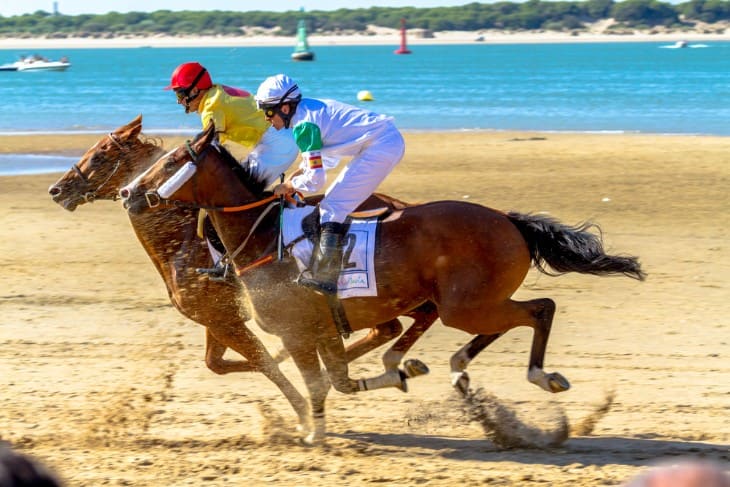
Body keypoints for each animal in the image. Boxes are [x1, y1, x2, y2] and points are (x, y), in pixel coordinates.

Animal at [48, 115, 436, 438]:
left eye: (99, 155)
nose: (57, 189)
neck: (180, 241)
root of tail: (401, 205)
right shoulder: (217, 319)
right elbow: (219, 364)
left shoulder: (225, 319)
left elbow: (261, 362)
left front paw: (301, 413)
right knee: (394, 325)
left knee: (401, 322)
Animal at [119, 124, 644, 444]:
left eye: (170, 163)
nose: (129, 192)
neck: (264, 236)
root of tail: (509, 221)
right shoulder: (323, 329)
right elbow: (337, 380)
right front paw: (398, 374)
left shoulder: (298, 329)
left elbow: (318, 383)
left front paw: (314, 434)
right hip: (466, 302)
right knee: (504, 320)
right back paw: (456, 370)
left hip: (464, 305)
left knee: (541, 308)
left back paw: (539, 375)